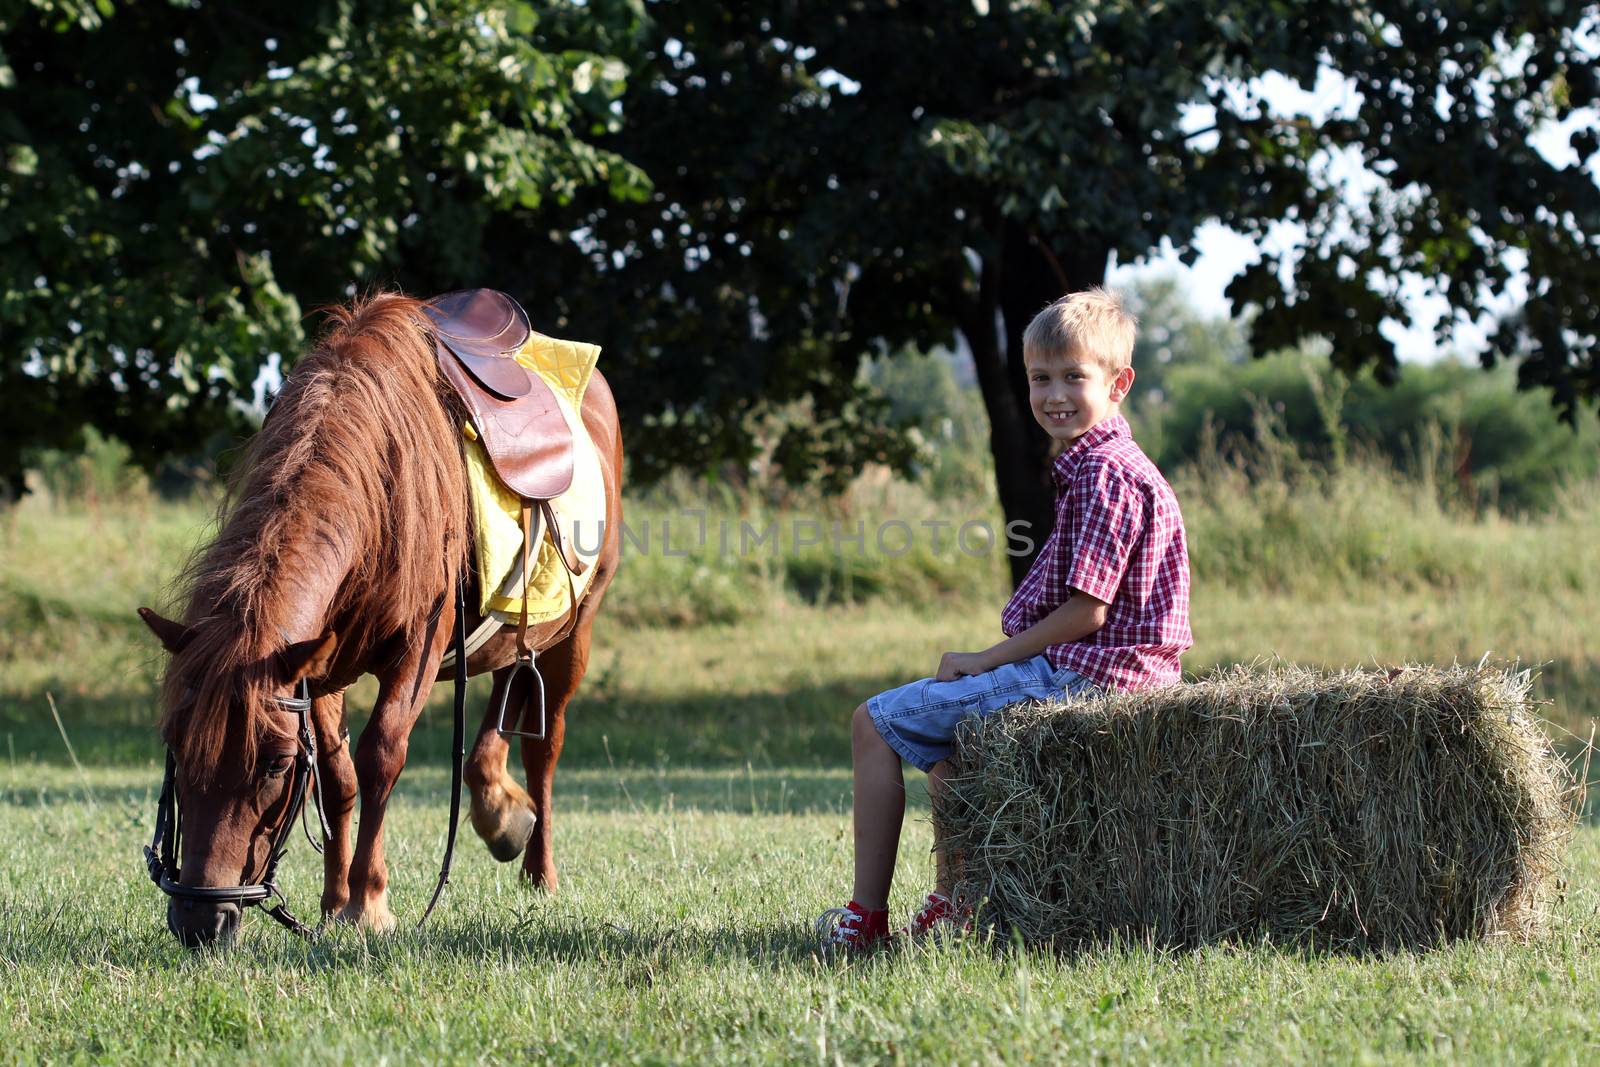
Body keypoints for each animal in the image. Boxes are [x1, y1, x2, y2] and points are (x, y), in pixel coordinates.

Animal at [139, 289, 624, 940]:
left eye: (273, 766)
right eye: (176, 744)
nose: (199, 918)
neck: (380, 485)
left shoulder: (418, 647)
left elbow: (381, 756)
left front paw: (368, 903)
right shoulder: (313, 665)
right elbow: (336, 775)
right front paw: (333, 899)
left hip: (576, 630)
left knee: (543, 746)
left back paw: (538, 865)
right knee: (506, 684)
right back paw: (497, 808)